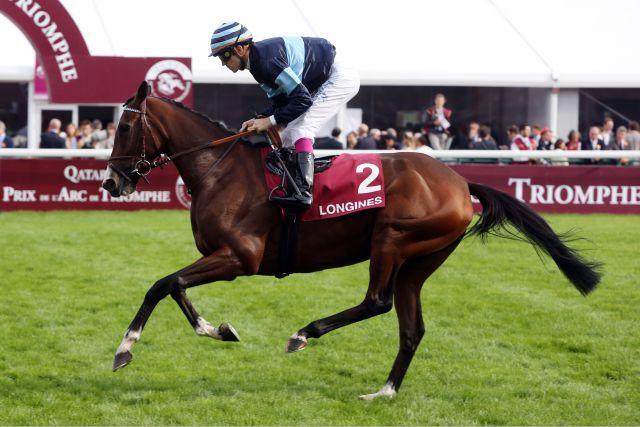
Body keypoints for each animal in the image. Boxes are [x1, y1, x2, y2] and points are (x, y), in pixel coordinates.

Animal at [101, 83, 600, 402]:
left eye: (124, 128)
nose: (111, 182)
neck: (220, 170)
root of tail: (460, 182)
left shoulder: (240, 257)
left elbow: (162, 284)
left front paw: (125, 348)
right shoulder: (219, 257)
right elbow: (176, 287)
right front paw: (217, 329)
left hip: (392, 239)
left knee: (377, 302)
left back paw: (304, 333)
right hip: (420, 262)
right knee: (412, 328)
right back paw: (385, 391)